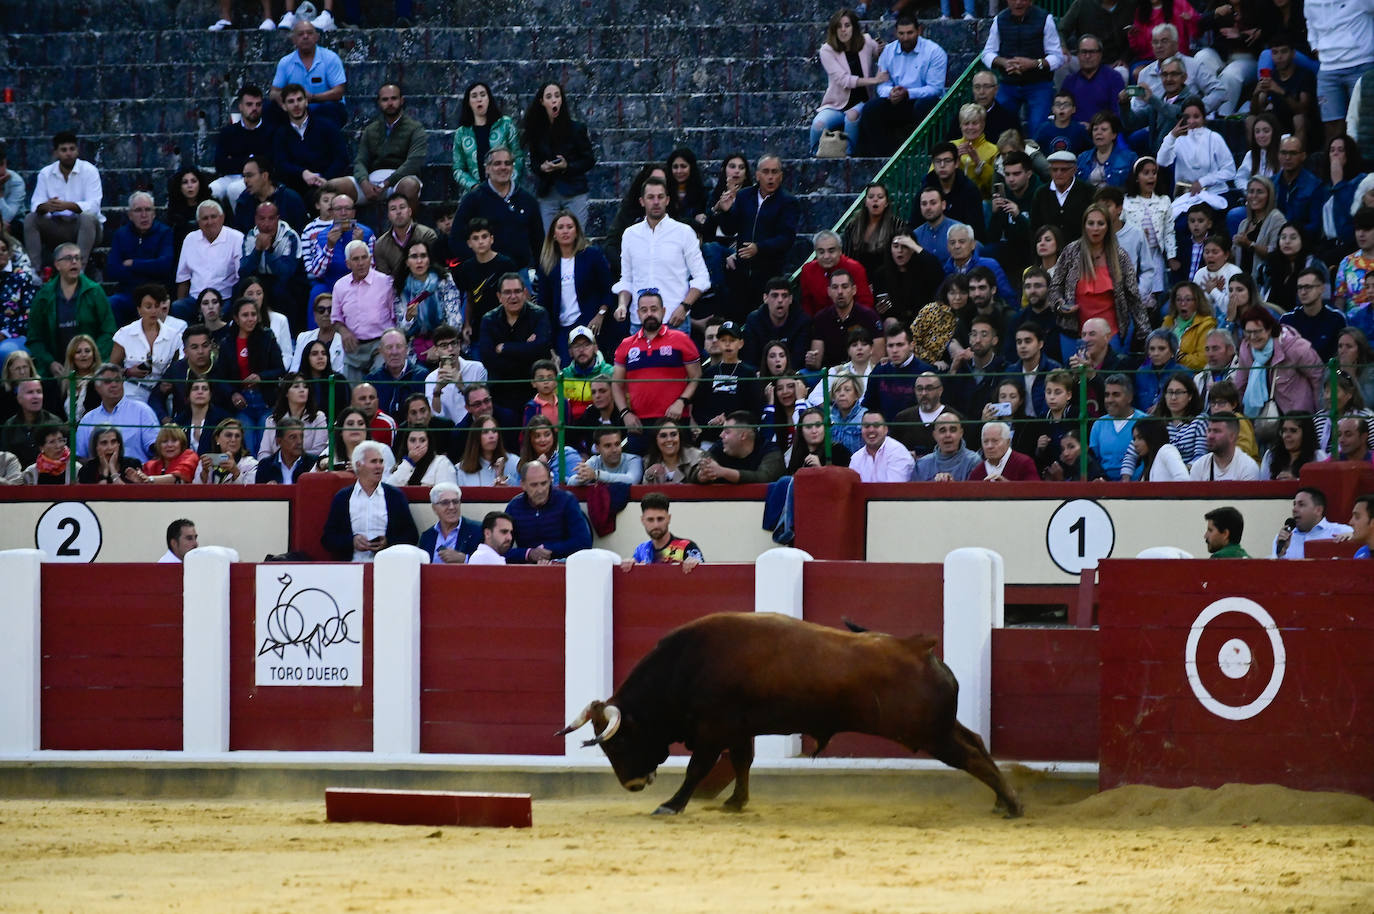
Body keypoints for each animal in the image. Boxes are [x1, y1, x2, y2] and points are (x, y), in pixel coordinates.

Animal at [555, 612, 1022, 813]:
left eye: (621, 743)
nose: (632, 785)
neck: (686, 666)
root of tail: (920, 648)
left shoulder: (713, 731)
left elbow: (697, 769)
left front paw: (670, 805)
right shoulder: (740, 730)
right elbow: (742, 763)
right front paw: (735, 803)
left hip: (928, 733)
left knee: (972, 756)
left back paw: (1014, 804)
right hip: (939, 727)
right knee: (976, 743)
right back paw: (1004, 800)